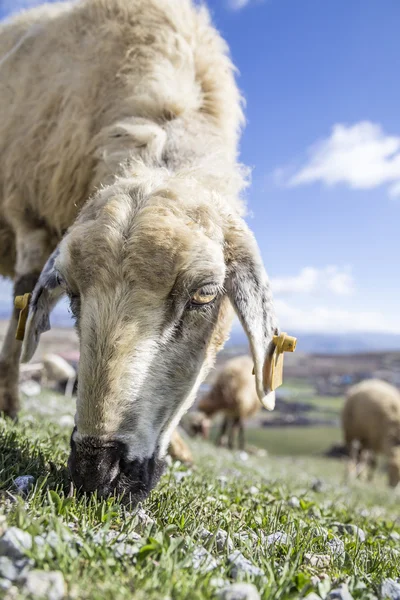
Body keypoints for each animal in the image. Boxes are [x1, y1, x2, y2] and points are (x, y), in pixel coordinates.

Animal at [0, 0, 278, 502]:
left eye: (205, 295)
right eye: (72, 295)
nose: (96, 471)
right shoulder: (28, 217)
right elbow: (20, 311)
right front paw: (10, 405)